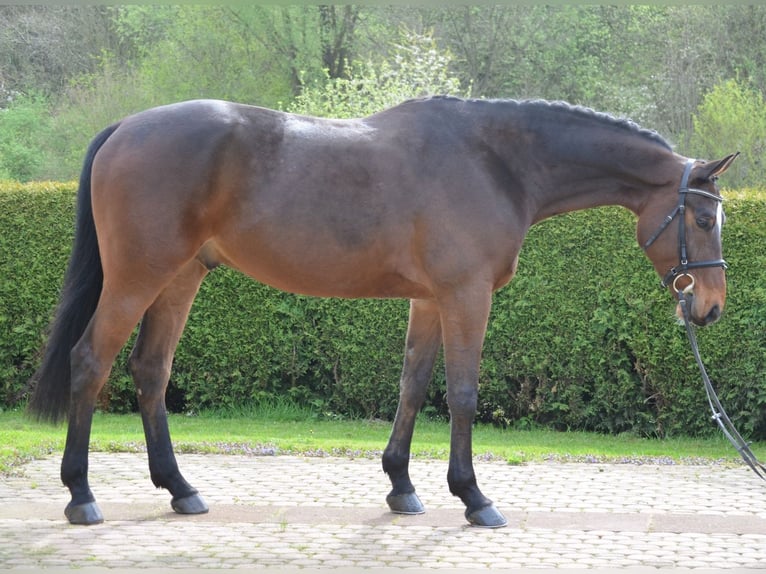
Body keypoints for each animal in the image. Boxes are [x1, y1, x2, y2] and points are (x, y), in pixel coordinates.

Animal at [28, 97, 736, 528]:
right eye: (703, 219)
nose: (709, 307)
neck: (496, 163)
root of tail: (124, 128)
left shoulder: (429, 300)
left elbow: (413, 386)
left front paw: (402, 486)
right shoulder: (466, 295)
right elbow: (463, 395)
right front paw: (473, 496)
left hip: (180, 278)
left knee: (151, 371)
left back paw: (180, 489)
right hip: (137, 278)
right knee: (91, 362)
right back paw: (81, 495)